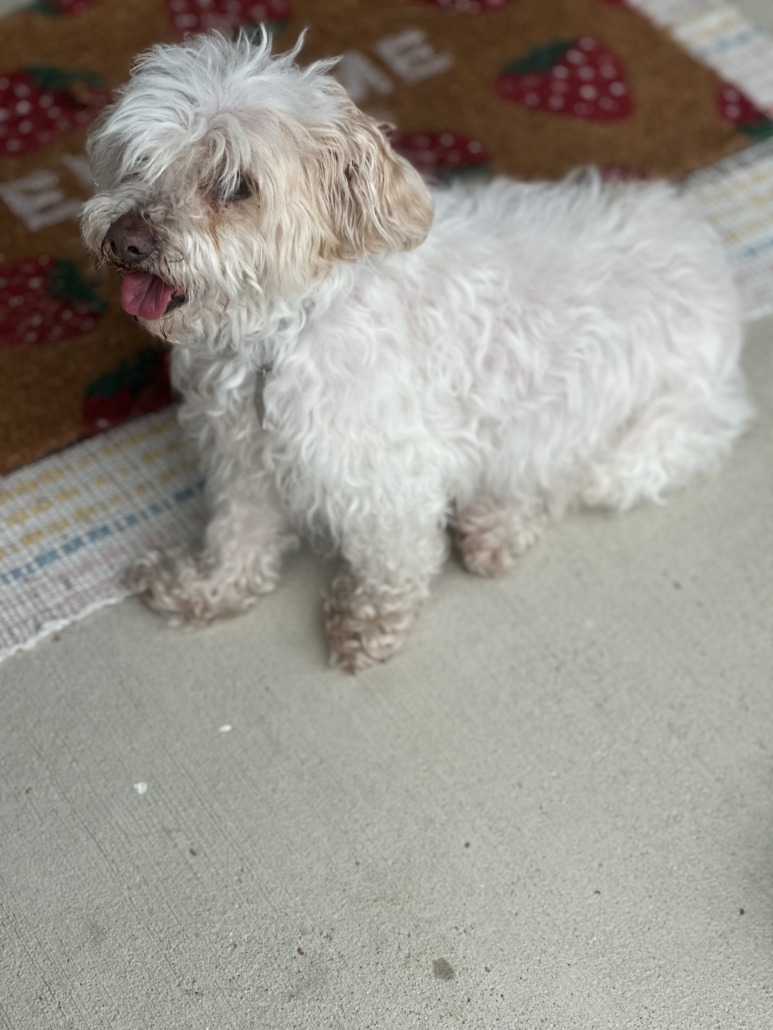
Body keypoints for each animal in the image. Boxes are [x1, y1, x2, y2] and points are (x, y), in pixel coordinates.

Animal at [81, 31, 751, 672]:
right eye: (139, 158)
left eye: (234, 186)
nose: (127, 239)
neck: (280, 335)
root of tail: (708, 255)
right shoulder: (242, 461)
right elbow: (237, 536)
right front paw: (205, 589)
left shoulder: (388, 478)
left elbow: (391, 562)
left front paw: (368, 623)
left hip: (635, 446)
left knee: (561, 476)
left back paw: (497, 521)